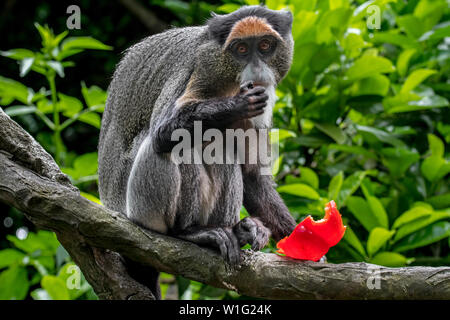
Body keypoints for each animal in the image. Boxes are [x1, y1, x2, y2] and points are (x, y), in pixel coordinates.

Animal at [97, 5, 298, 300]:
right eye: (240, 49)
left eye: (264, 46)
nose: (257, 69)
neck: (225, 80)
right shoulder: (192, 71)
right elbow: (162, 133)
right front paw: (236, 104)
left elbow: (252, 175)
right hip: (139, 209)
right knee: (170, 146)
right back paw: (188, 233)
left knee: (223, 148)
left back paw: (237, 231)